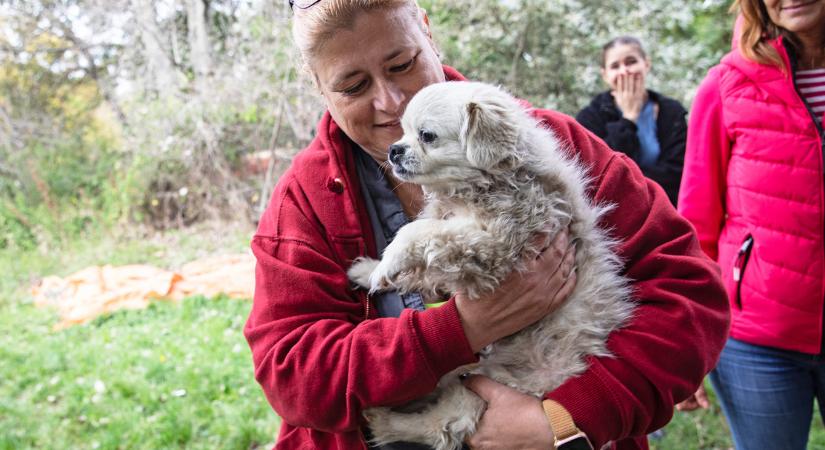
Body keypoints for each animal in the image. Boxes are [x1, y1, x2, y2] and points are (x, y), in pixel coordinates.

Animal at [348, 81, 636, 450]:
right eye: (402, 132)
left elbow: (418, 232)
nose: (394, 150)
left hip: (482, 390)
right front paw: (369, 271)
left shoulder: (491, 241)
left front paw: (386, 264)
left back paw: (381, 420)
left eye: (426, 136)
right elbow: (424, 264)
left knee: (440, 424)